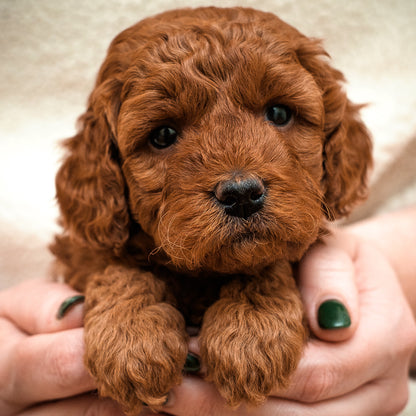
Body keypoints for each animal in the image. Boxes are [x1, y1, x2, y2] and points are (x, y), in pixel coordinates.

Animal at [50, 4, 372, 414]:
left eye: (279, 113)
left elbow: (268, 263)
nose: (241, 194)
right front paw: (131, 339)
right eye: (163, 135)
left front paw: (249, 334)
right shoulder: (89, 243)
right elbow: (117, 266)